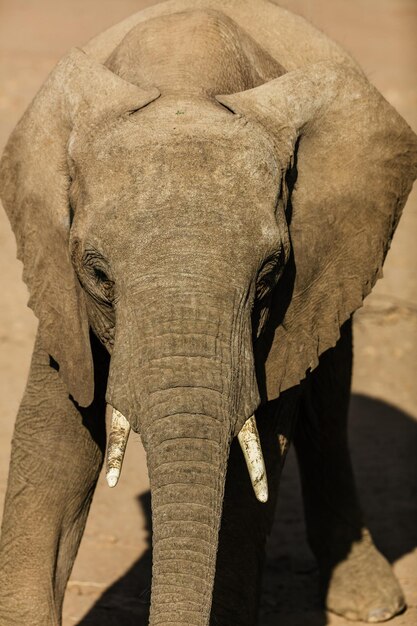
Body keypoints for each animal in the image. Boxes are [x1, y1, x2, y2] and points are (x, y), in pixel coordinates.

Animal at [0, 0, 416, 620]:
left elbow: (252, 468)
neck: (184, 84)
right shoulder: (59, 291)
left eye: (269, 275)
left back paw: (369, 603)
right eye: (97, 275)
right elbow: (53, 447)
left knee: (330, 400)